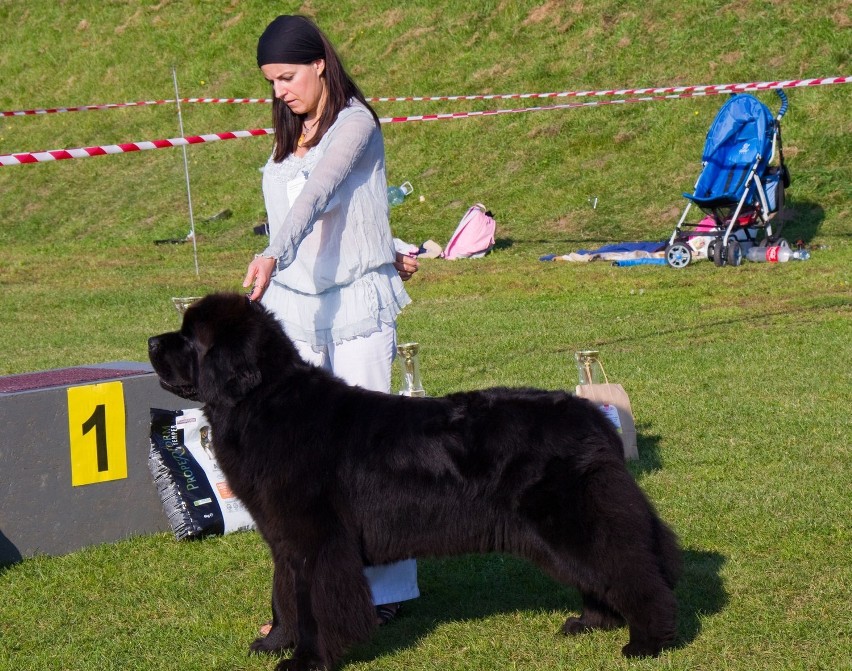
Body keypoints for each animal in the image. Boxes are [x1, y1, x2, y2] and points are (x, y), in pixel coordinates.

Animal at [146, 294, 680, 671]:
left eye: (190, 339)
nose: (151, 342)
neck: (261, 403)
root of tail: (594, 417)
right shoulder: (285, 539)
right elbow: (283, 597)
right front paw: (274, 643)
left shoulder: (317, 541)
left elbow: (311, 604)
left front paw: (307, 661)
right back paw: (591, 622)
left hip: (571, 521)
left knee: (633, 572)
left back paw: (647, 641)